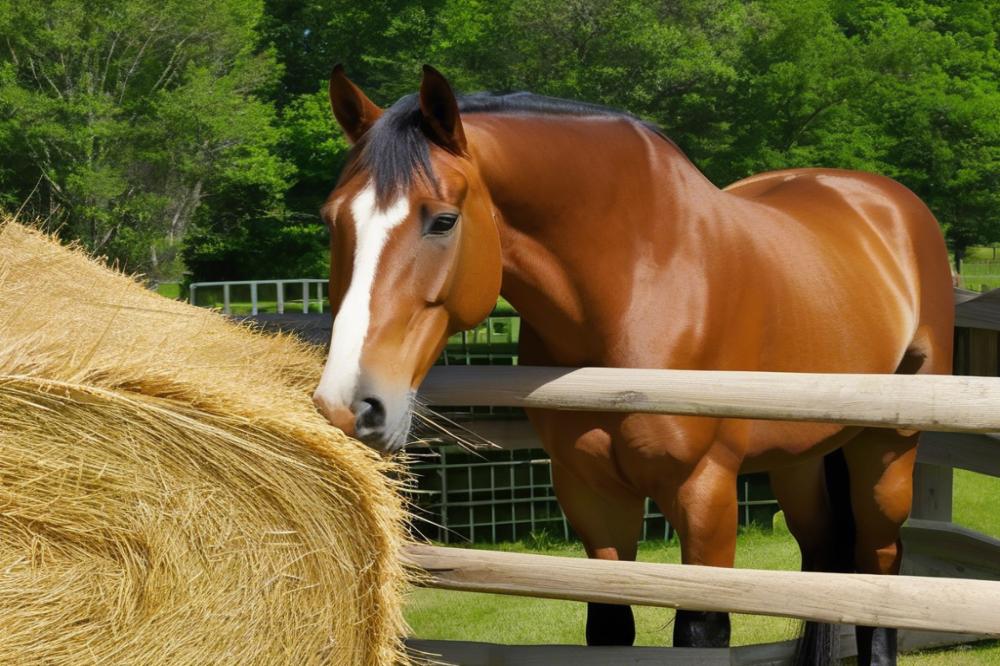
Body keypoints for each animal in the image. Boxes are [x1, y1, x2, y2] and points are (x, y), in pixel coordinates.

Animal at [312, 63, 952, 664]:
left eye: (443, 220)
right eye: (331, 219)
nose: (349, 404)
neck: (643, 284)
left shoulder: (704, 494)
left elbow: (702, 632)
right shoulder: (591, 494)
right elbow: (610, 627)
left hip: (885, 454)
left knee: (877, 569)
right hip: (802, 460)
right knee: (823, 564)